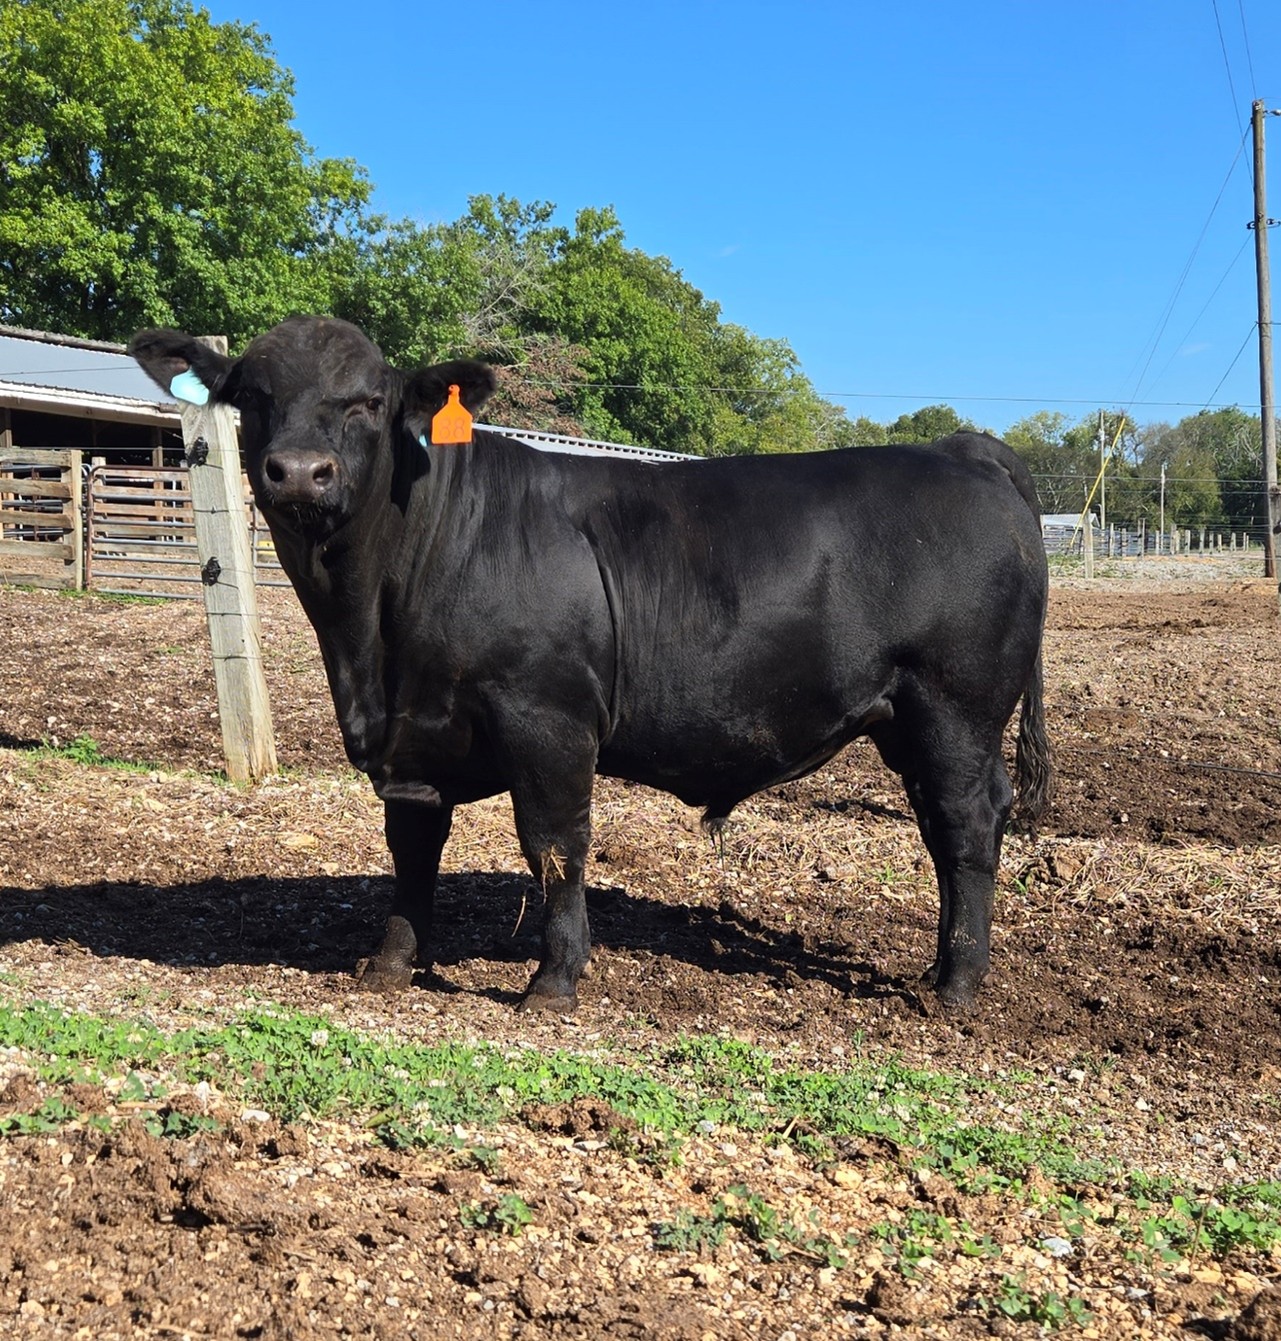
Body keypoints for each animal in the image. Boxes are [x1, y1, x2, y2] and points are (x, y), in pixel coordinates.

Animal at [129, 316, 1050, 1015]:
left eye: (367, 402)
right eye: (251, 397)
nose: (298, 472)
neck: (368, 641)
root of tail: (960, 448)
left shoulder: (548, 720)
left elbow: (554, 845)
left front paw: (553, 980)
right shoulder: (412, 739)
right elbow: (411, 848)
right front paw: (390, 963)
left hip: (955, 707)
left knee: (966, 824)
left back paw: (954, 984)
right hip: (909, 719)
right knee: (943, 826)